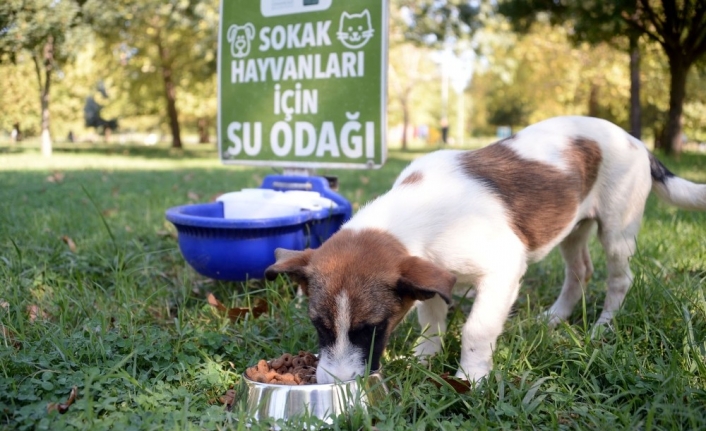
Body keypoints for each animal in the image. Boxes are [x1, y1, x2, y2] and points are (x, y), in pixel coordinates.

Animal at [262, 115, 704, 384]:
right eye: (319, 326)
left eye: (370, 329)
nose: (334, 385)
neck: (419, 211)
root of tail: (635, 141)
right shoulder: (431, 274)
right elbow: (431, 321)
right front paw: (424, 358)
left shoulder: (503, 268)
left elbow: (476, 328)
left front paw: (471, 378)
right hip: (572, 228)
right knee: (579, 271)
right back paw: (555, 318)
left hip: (617, 227)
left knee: (618, 278)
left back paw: (603, 326)